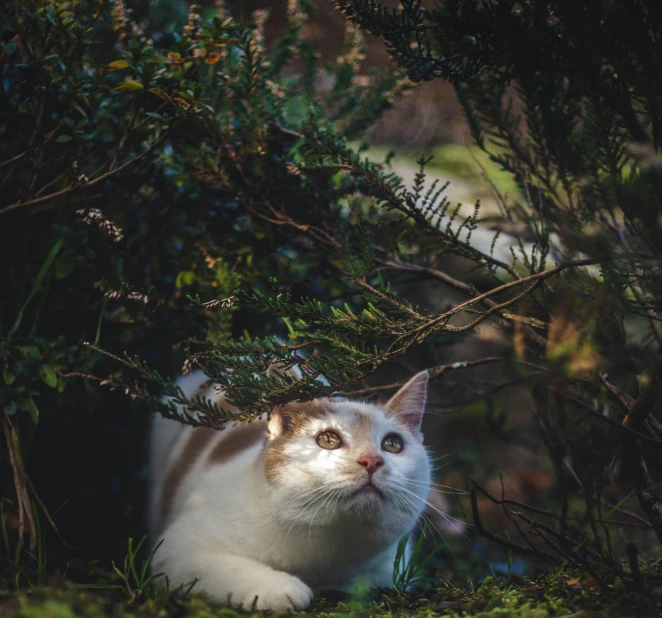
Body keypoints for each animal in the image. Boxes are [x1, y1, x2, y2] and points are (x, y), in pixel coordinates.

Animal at [148, 364, 434, 608]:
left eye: (393, 444)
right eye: (328, 439)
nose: (372, 460)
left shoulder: (391, 570)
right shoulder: (175, 551)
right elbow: (222, 567)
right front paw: (278, 588)